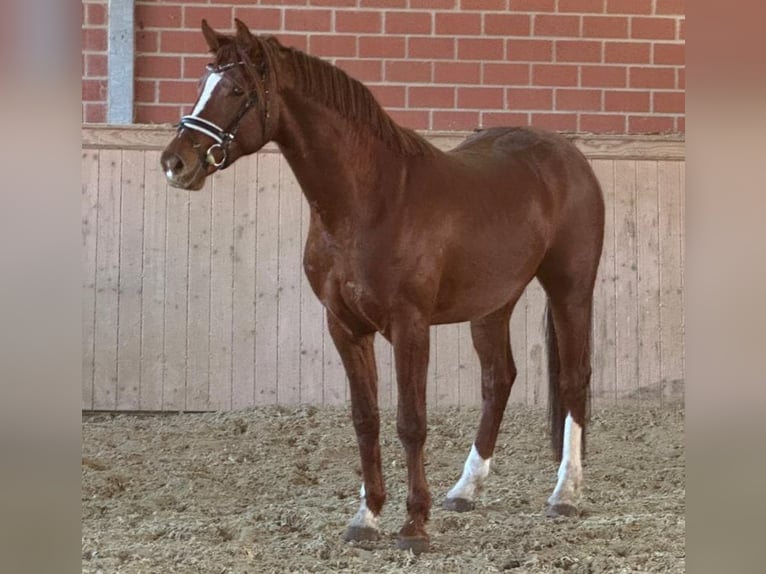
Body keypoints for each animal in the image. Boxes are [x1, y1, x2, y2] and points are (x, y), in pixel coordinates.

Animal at [161, 19, 605, 554]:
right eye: (202, 84)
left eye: (236, 90)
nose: (175, 163)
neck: (369, 201)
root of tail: (568, 156)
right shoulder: (346, 326)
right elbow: (365, 418)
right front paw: (367, 517)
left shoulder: (410, 326)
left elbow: (410, 422)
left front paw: (414, 525)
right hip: (493, 305)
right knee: (498, 380)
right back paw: (465, 489)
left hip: (571, 290)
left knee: (574, 378)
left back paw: (566, 494)